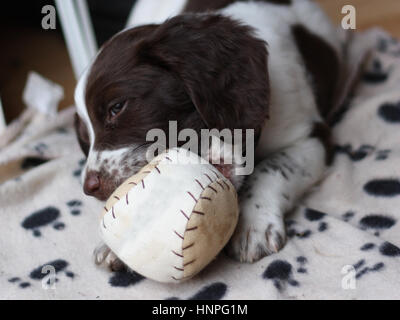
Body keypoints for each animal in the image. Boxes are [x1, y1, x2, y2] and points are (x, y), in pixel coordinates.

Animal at [73, 0, 340, 268]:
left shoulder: (310, 137)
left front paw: (254, 224)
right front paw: (118, 244)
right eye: (84, 139)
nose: (90, 187)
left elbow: (273, 168)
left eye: (117, 107)